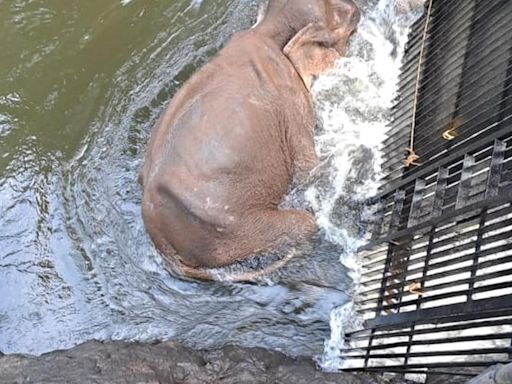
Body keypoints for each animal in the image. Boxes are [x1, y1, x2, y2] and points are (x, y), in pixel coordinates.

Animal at [140, 0, 360, 282]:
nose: (357, 9)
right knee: (305, 224)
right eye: (348, 19)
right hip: (235, 230)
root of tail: (163, 245)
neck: (264, 31)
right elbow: (308, 171)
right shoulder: (290, 97)